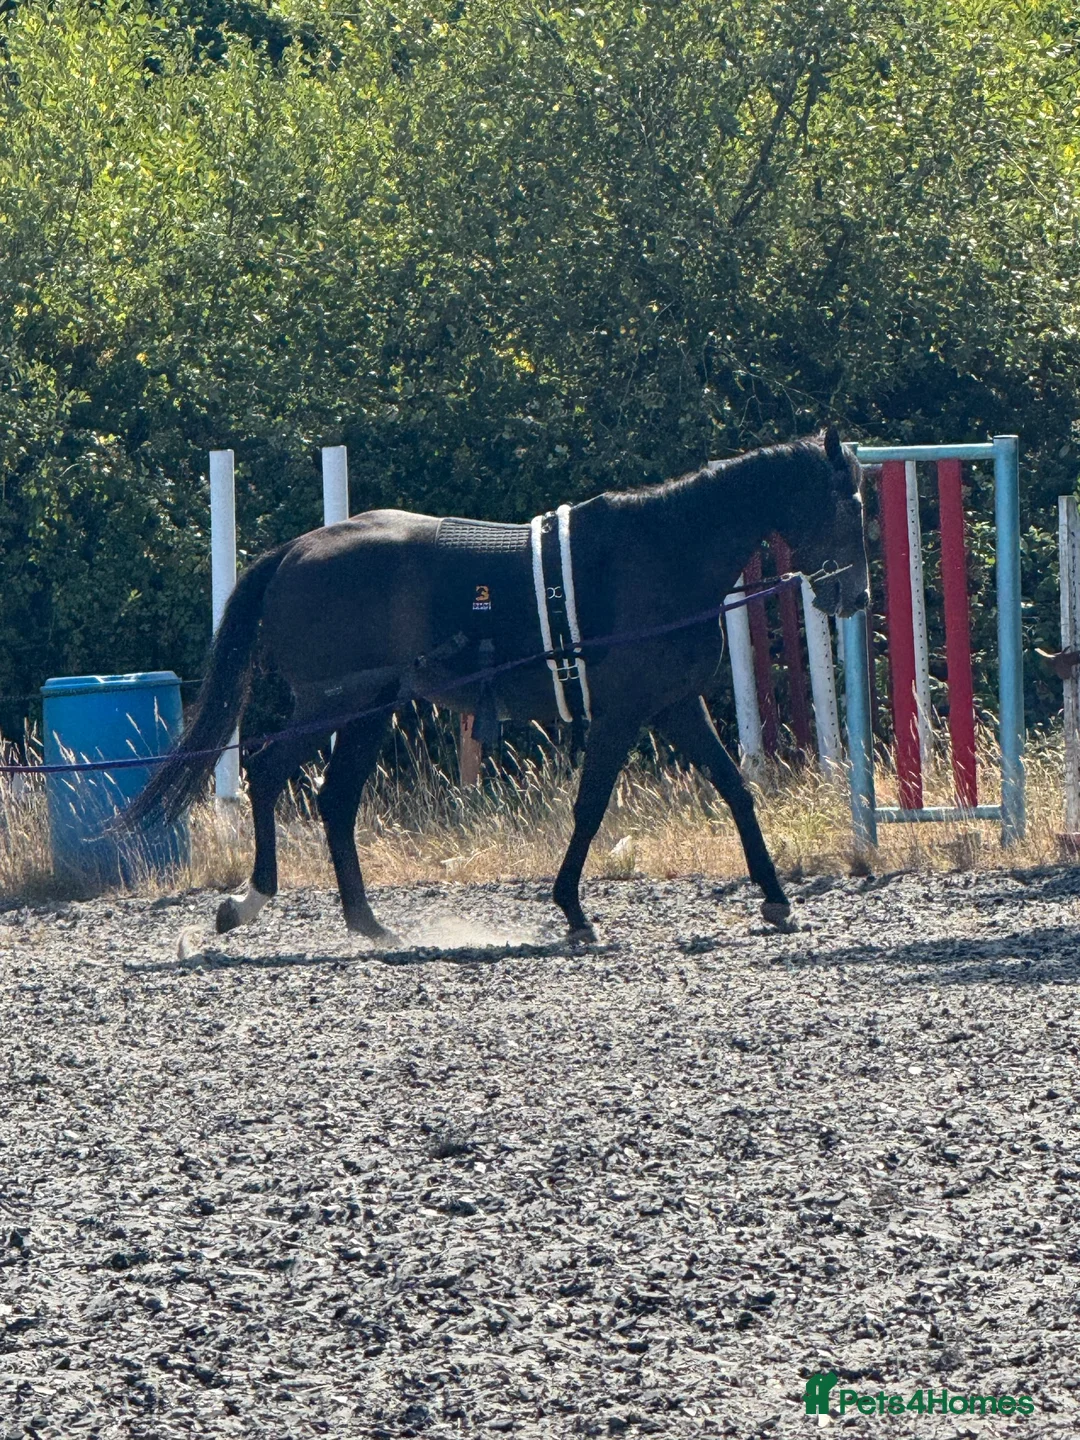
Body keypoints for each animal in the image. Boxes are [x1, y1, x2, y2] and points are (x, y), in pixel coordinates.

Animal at [124, 427, 868, 944]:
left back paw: (368, 922)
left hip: (371, 707)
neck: (662, 552)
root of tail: (296, 550)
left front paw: (776, 898)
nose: (853, 596)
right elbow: (591, 807)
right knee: (269, 773)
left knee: (334, 801)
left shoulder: (674, 707)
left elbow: (735, 789)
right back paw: (248, 900)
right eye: (846, 509)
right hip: (333, 701)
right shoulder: (624, 714)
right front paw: (572, 908)